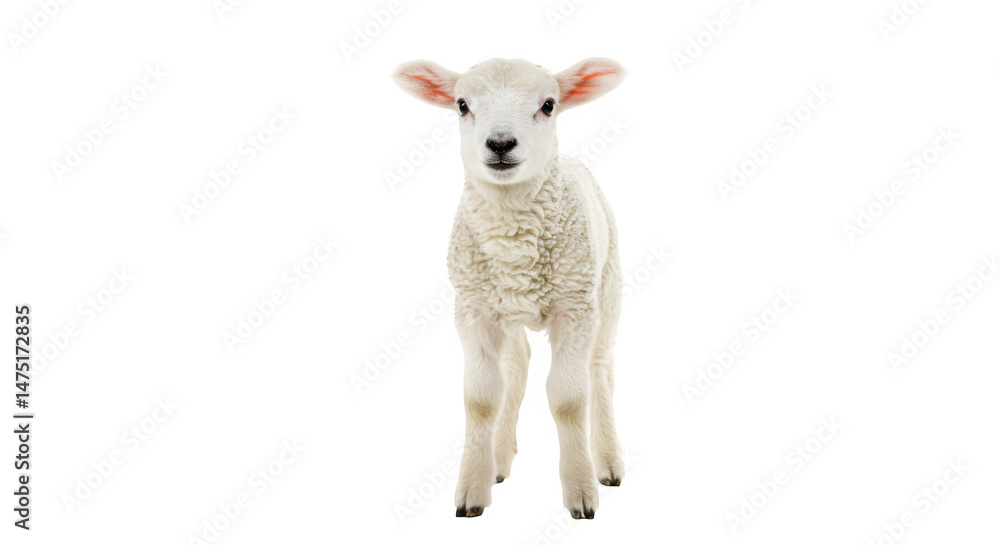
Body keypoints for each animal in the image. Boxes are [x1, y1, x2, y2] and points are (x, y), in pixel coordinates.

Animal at [391, 57, 627, 519]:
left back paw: (607, 463)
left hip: (605, 289)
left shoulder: (574, 309)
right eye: (461, 105)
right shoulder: (472, 309)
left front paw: (580, 491)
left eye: (549, 104)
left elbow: (569, 400)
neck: (513, 232)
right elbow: (481, 399)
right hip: (510, 309)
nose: (500, 144)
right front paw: (472, 490)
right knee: (517, 368)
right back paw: (498, 459)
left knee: (601, 371)